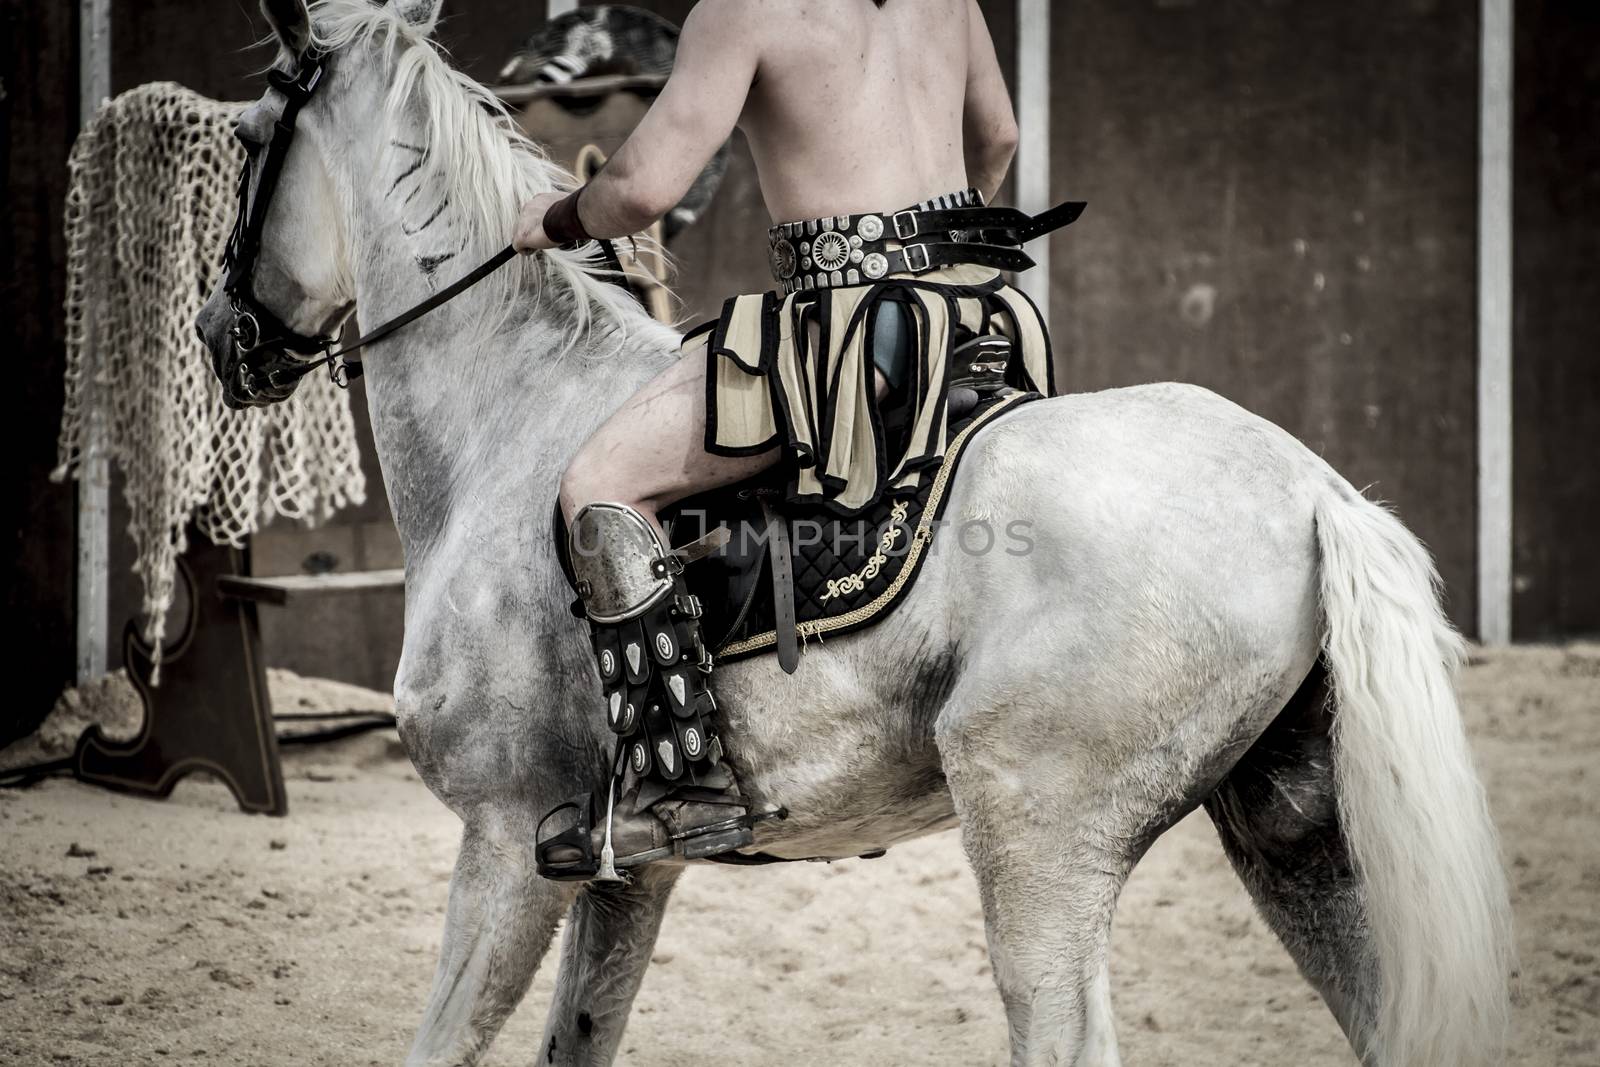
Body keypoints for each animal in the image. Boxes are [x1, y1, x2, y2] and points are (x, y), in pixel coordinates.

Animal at [200, 2, 1510, 1067]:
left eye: (252, 139)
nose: (223, 338)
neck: (509, 414)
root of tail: (1313, 490)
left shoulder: (504, 837)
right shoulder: (628, 874)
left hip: (1034, 827)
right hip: (1296, 834)